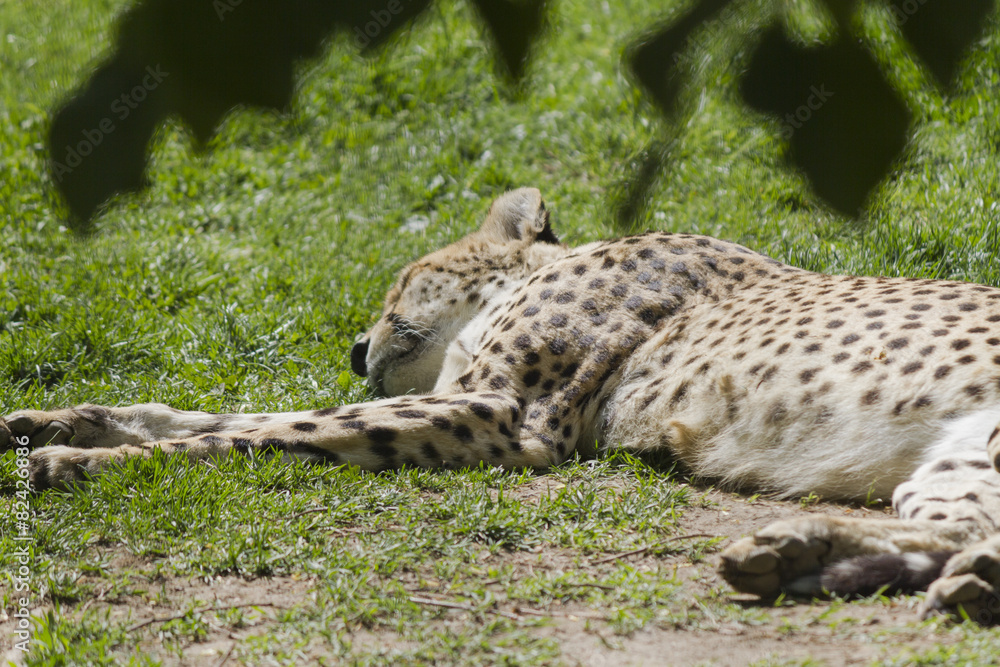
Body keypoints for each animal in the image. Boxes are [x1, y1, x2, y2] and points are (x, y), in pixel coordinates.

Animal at [6, 187, 1000, 622]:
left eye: (402, 279)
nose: (356, 347)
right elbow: (221, 418)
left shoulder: (503, 421)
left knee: (973, 535)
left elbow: (272, 434)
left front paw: (75, 461)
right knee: (952, 527)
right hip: (951, 464)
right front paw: (56, 421)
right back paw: (802, 553)